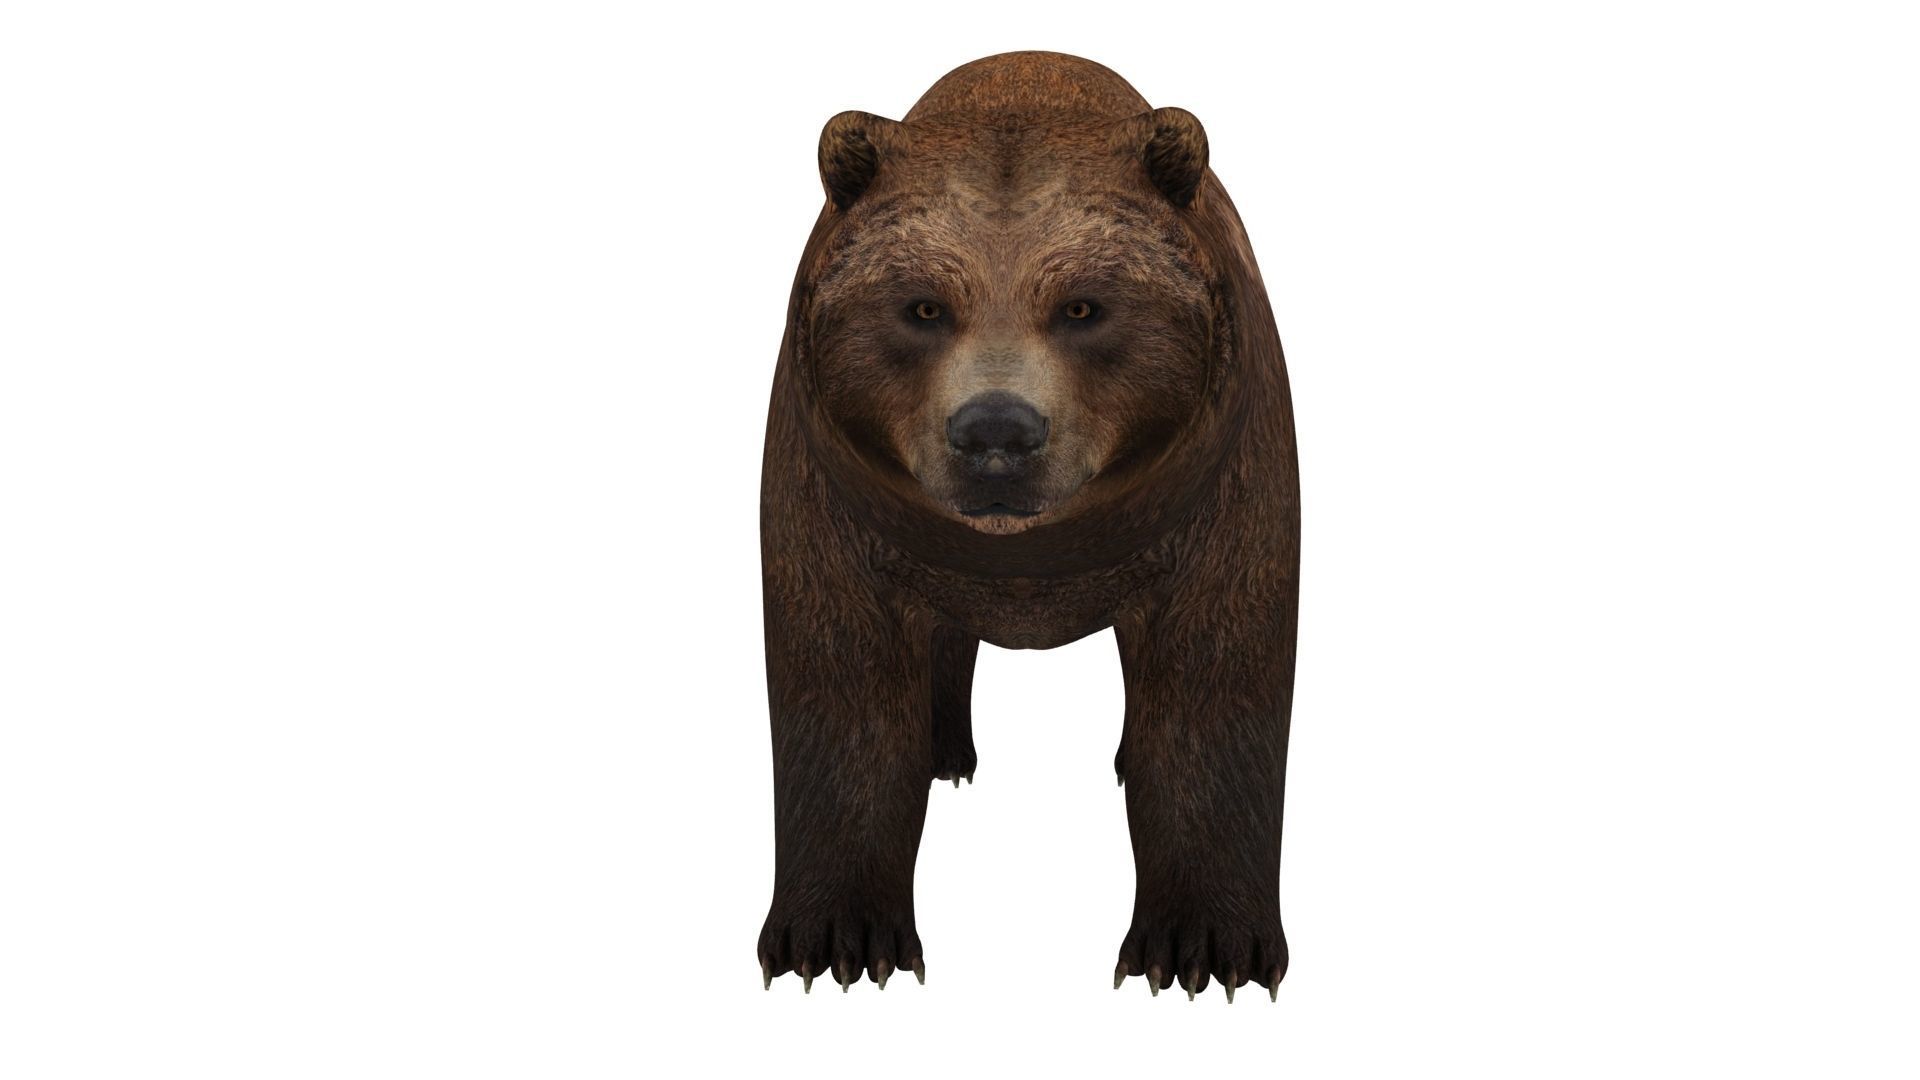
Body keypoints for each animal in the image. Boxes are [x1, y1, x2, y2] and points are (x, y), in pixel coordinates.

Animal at [756, 50, 1300, 1001]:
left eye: (1083, 306)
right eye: (923, 306)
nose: (996, 435)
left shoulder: (1221, 486)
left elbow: (1217, 676)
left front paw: (1201, 949)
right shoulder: (835, 497)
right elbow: (840, 679)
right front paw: (835, 942)